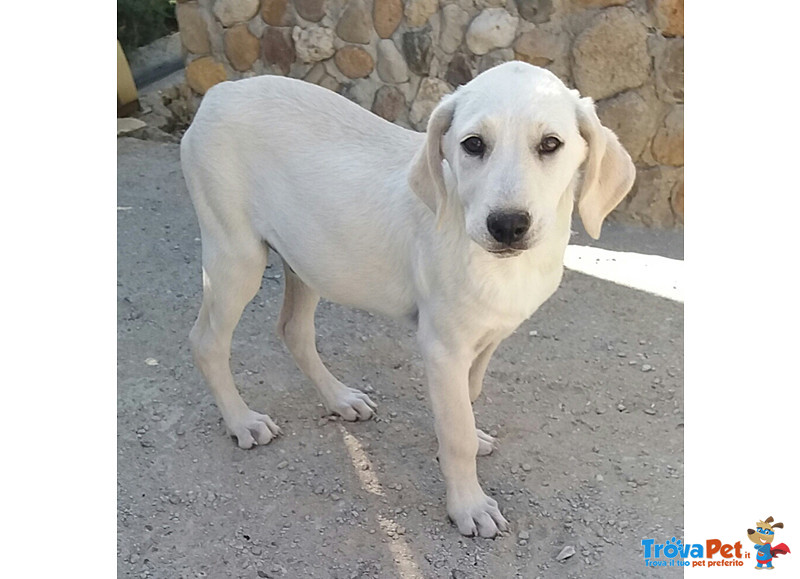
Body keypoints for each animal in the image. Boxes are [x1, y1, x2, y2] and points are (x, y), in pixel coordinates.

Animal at [181, 63, 636, 540]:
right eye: (473, 144)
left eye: (550, 144)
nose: (508, 225)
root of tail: (222, 90)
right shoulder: (443, 348)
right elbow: (455, 430)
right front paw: (468, 504)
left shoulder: (488, 337)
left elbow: (467, 399)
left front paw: (467, 441)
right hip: (237, 257)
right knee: (207, 341)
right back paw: (241, 421)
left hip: (308, 258)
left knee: (293, 331)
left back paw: (340, 399)